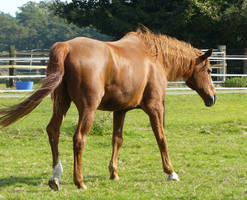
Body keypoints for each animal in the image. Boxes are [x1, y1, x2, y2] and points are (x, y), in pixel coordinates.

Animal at [0, 27, 216, 189]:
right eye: (208, 70)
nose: (212, 98)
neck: (154, 57)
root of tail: (66, 47)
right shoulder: (154, 107)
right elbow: (161, 138)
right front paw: (171, 172)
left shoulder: (120, 110)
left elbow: (117, 140)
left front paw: (114, 173)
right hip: (88, 109)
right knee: (79, 138)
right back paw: (79, 182)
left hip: (61, 104)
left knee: (53, 131)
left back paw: (56, 177)